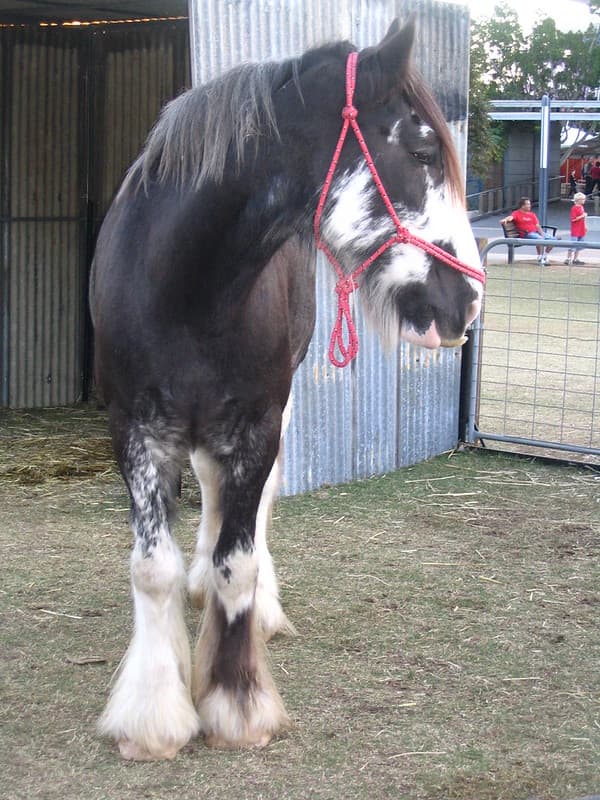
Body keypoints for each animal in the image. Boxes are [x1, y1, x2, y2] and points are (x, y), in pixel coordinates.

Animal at [89, 17, 484, 761]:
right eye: (421, 150)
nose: (467, 301)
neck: (186, 286)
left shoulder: (257, 424)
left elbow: (238, 562)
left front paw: (236, 702)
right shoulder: (135, 428)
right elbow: (152, 568)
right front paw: (153, 716)